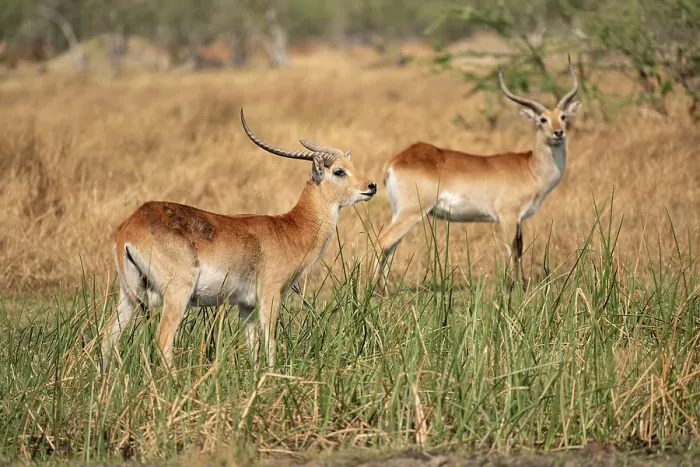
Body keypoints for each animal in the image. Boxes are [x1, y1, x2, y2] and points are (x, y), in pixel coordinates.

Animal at [101, 109, 377, 372]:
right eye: (339, 171)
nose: (371, 186)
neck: (289, 229)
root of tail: (128, 228)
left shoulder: (246, 306)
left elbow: (253, 347)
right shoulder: (269, 296)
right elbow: (270, 342)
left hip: (128, 296)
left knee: (107, 338)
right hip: (176, 294)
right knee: (162, 340)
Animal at [373, 56, 581, 294]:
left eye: (563, 116)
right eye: (543, 120)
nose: (558, 132)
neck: (530, 168)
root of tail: (396, 160)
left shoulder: (519, 221)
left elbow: (519, 250)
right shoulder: (507, 216)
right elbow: (512, 250)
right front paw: (515, 289)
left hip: (401, 212)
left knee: (391, 246)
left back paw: (384, 290)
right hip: (412, 211)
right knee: (383, 240)